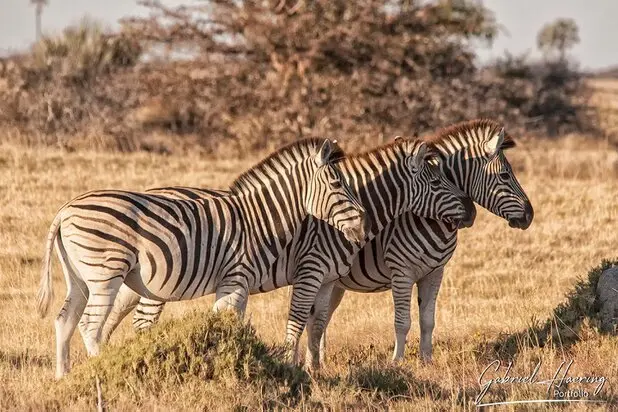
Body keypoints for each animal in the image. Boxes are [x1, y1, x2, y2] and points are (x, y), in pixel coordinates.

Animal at [35, 139, 370, 380]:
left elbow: (233, 326)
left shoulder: (238, 286)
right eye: (337, 185)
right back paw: (101, 372)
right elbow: (223, 325)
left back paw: (63, 378)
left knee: (65, 320)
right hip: (105, 274)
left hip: (79, 278)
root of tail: (64, 210)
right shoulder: (236, 279)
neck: (257, 220)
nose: (362, 226)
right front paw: (228, 369)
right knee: (89, 325)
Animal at [100, 135, 472, 360]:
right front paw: (290, 364)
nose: (468, 213)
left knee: (118, 308)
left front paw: (311, 367)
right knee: (134, 315)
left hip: (145, 280)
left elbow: (316, 324)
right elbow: (298, 321)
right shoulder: (311, 270)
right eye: (437, 181)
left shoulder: (328, 277)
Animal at [304, 117, 536, 368]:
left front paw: (426, 360)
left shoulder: (435, 272)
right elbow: (402, 322)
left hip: (335, 282)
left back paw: (321, 360)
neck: (430, 218)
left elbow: (427, 320)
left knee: (322, 318)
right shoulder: (402, 272)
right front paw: (397, 362)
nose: (530, 216)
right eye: (504, 175)